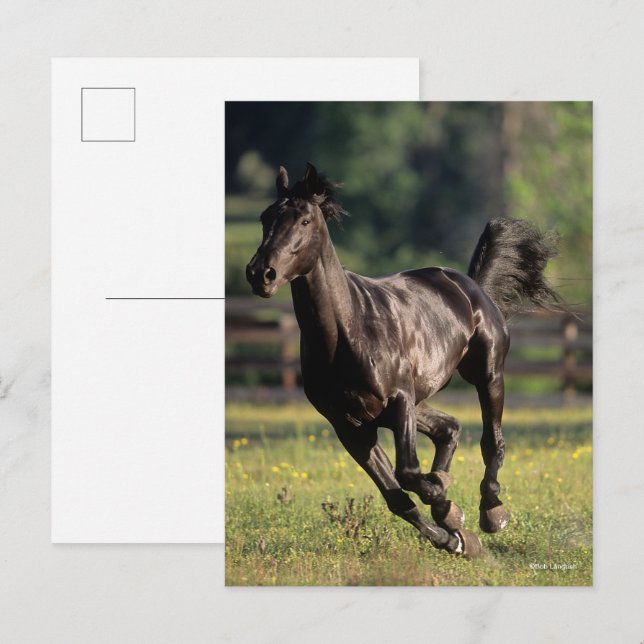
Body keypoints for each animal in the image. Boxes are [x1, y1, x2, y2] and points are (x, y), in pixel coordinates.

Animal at [246, 163, 560, 557]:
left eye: (304, 220)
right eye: (265, 217)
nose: (261, 274)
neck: (349, 331)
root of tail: (471, 287)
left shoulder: (398, 401)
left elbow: (408, 472)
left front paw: (448, 507)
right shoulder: (350, 426)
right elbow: (397, 496)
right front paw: (454, 537)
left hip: (486, 376)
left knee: (492, 442)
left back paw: (491, 513)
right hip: (417, 401)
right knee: (449, 428)